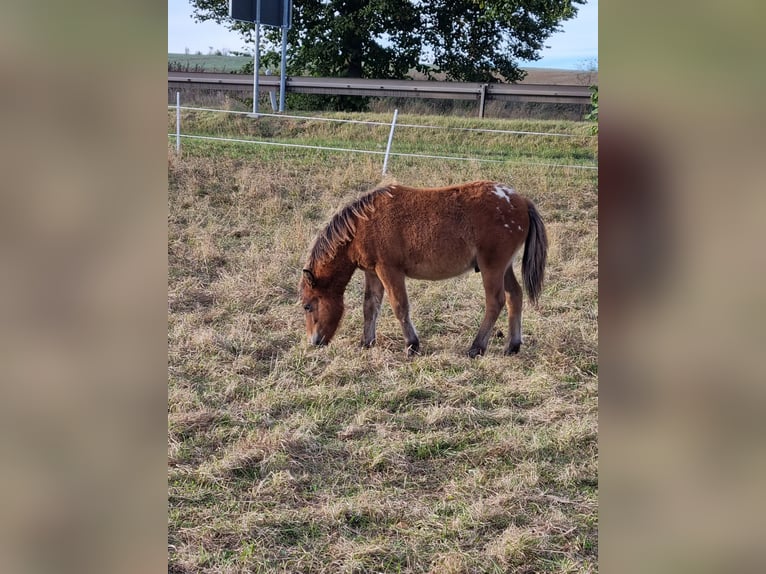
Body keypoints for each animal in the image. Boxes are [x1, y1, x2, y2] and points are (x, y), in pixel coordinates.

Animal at [298, 182, 544, 358]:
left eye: (307, 306)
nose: (314, 342)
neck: (363, 223)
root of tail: (520, 201)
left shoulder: (389, 270)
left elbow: (400, 307)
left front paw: (412, 345)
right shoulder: (373, 272)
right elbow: (370, 306)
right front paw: (366, 342)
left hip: (492, 268)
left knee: (495, 302)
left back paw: (477, 347)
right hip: (504, 268)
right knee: (515, 296)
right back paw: (512, 346)